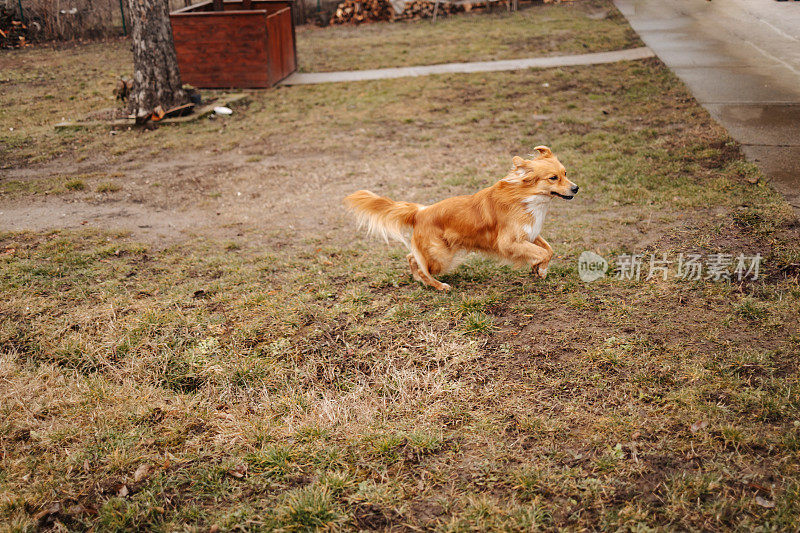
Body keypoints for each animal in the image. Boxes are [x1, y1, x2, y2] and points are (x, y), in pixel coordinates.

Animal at [346, 147, 580, 290]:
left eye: (566, 173)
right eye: (553, 178)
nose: (576, 188)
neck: (525, 197)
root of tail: (420, 212)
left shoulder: (530, 233)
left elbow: (548, 250)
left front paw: (538, 268)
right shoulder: (508, 242)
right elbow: (543, 252)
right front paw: (539, 266)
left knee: (411, 258)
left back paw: (422, 280)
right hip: (441, 256)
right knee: (418, 262)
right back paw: (437, 285)